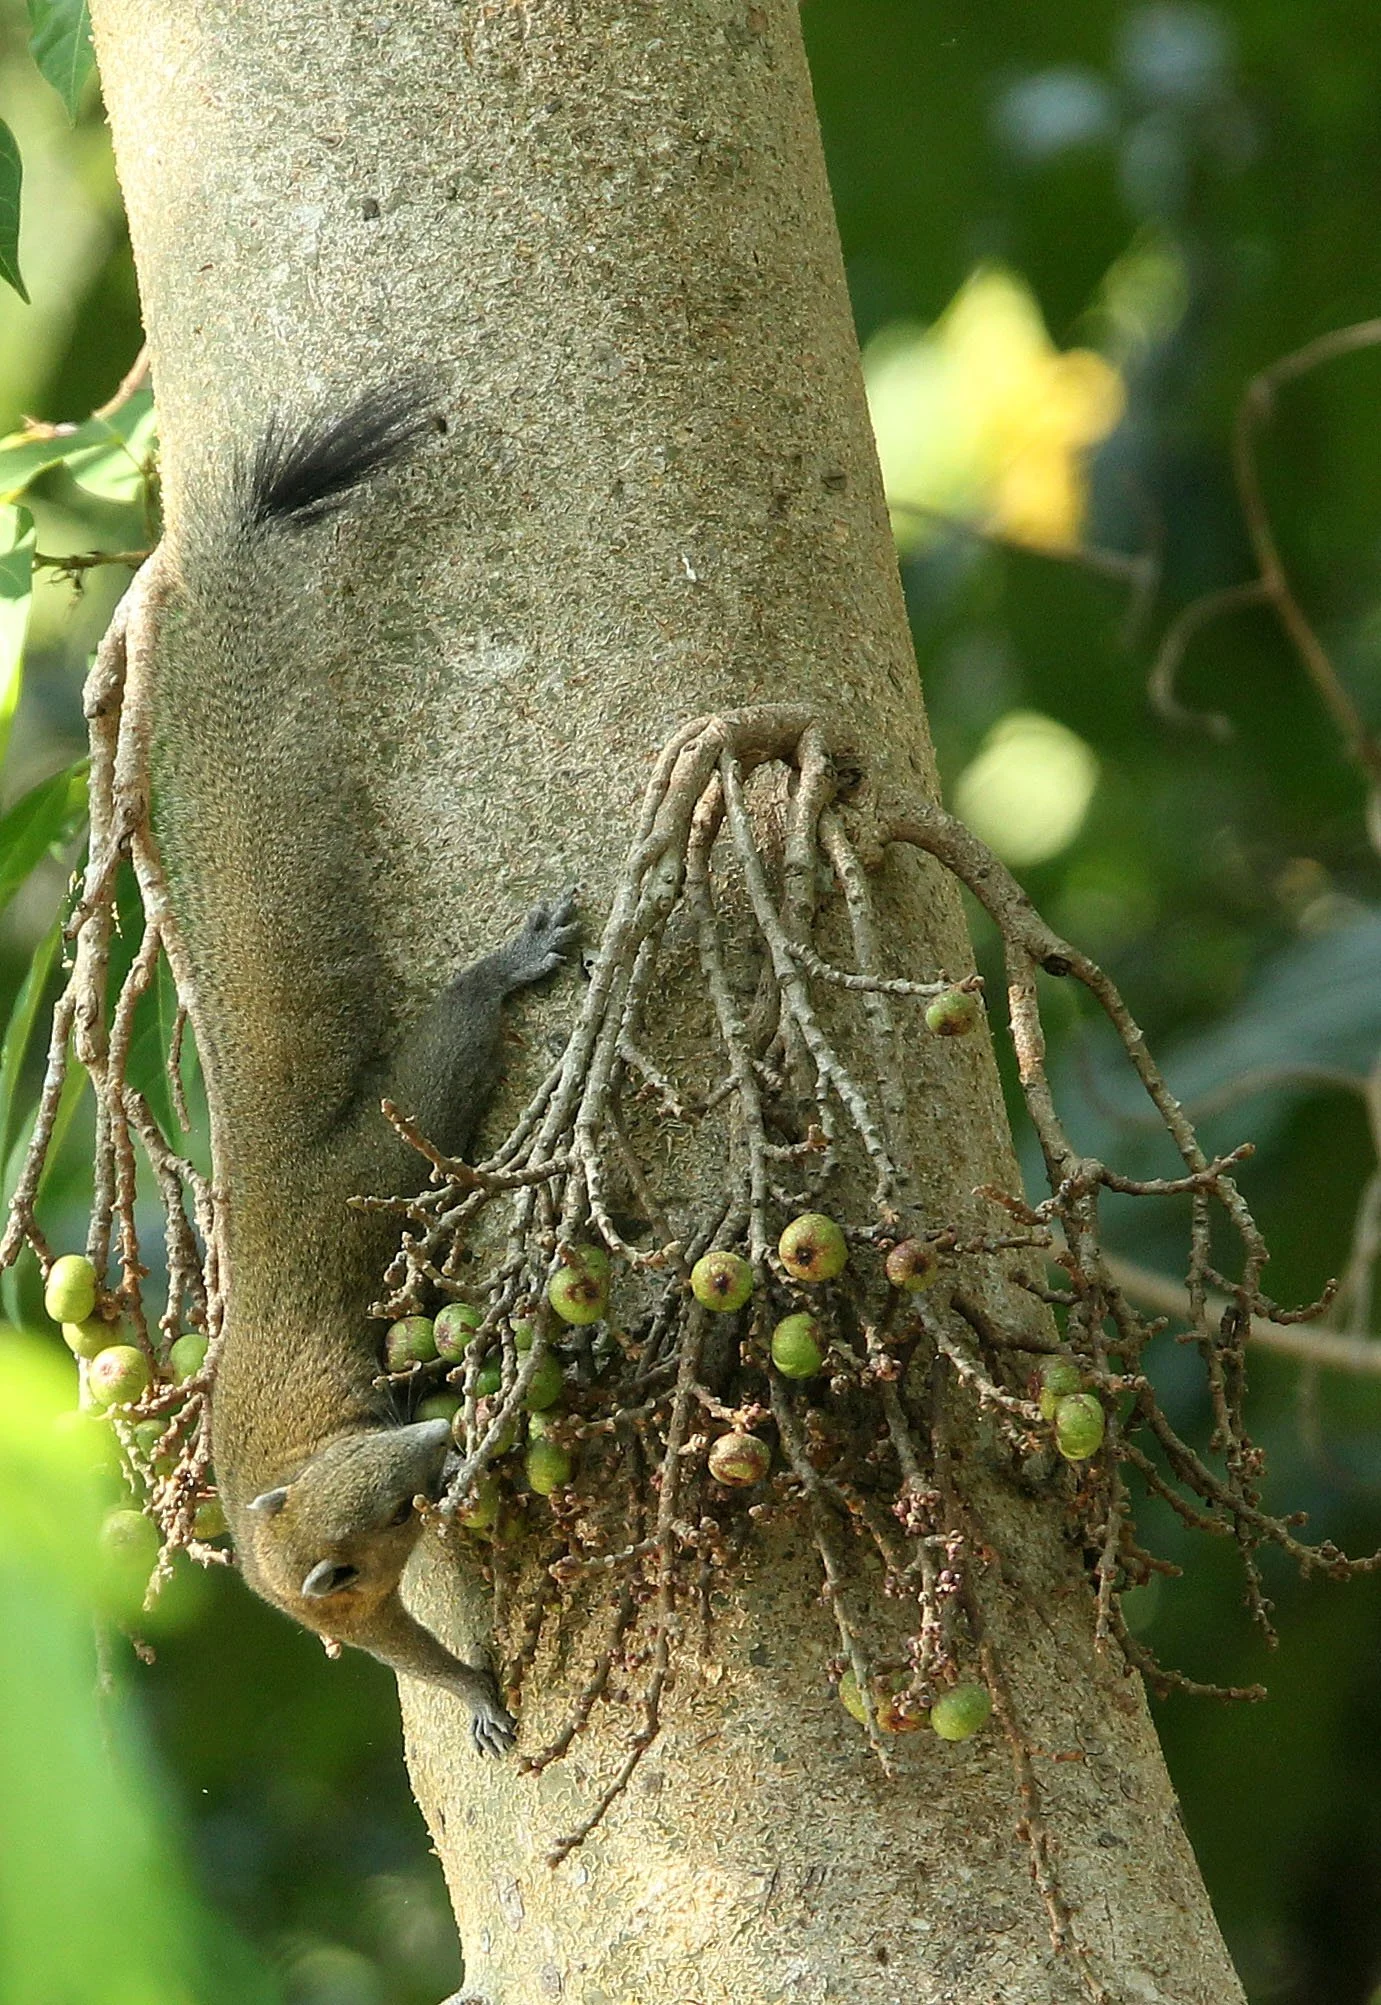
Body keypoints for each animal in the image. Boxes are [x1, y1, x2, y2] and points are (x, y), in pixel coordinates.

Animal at [148, 386, 577, 1754]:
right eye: (386, 1507)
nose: (438, 1436)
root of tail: (268, 1163)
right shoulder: (350, 1608)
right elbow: (405, 1653)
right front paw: (474, 1696)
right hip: (384, 1158)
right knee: (449, 1050)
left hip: (380, 1162)